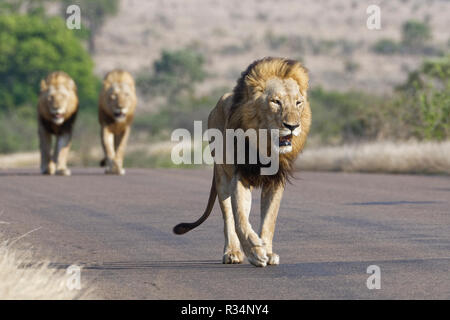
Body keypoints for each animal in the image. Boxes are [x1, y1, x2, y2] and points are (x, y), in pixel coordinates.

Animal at [174, 57, 312, 268]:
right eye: (276, 101)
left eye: (298, 103)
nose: (292, 126)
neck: (265, 146)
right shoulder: (240, 175)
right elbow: (239, 217)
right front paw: (255, 251)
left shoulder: (275, 181)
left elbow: (269, 219)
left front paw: (267, 252)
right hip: (222, 176)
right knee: (229, 217)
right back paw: (232, 252)